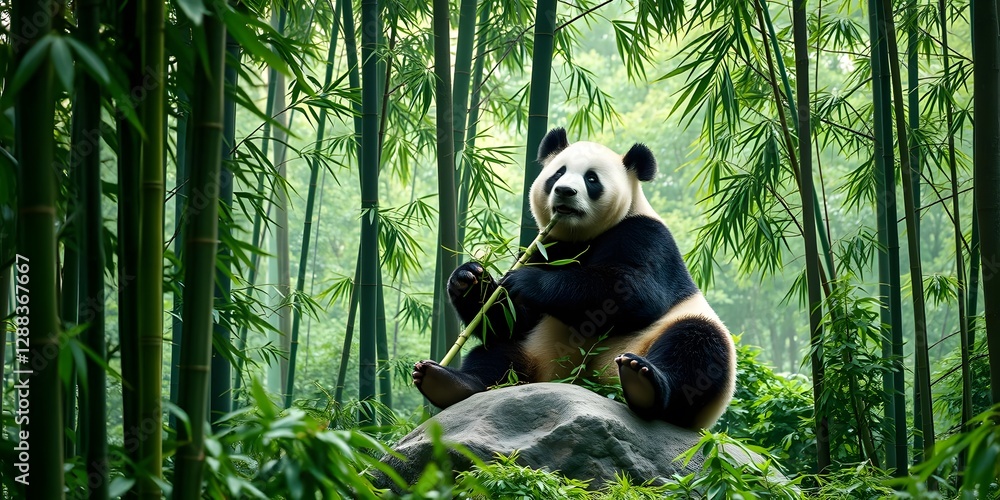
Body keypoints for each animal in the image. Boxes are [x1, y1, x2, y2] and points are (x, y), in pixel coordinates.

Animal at [412, 127, 736, 429]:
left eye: (591, 179)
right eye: (558, 173)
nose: (565, 191)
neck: (580, 237)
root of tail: (591, 386)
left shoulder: (647, 236)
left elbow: (634, 292)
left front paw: (525, 282)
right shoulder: (545, 245)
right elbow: (511, 320)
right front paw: (469, 278)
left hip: (679, 345)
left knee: (696, 347)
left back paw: (644, 382)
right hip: (533, 355)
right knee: (497, 355)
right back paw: (448, 381)